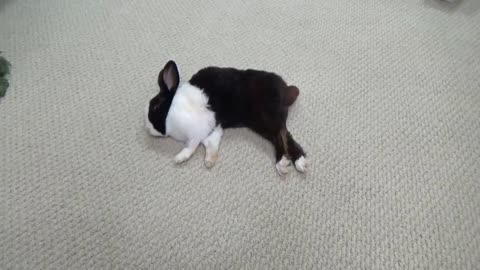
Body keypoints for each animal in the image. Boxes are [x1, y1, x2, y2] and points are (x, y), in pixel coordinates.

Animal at [143, 60, 308, 175]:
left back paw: (287, 162)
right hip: (261, 123)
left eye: (155, 106)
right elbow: (211, 144)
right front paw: (209, 161)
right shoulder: (213, 129)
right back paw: (294, 162)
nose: (148, 128)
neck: (172, 110)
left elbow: (191, 146)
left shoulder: (196, 132)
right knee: (282, 135)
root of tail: (286, 90)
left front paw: (179, 158)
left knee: (282, 134)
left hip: (267, 116)